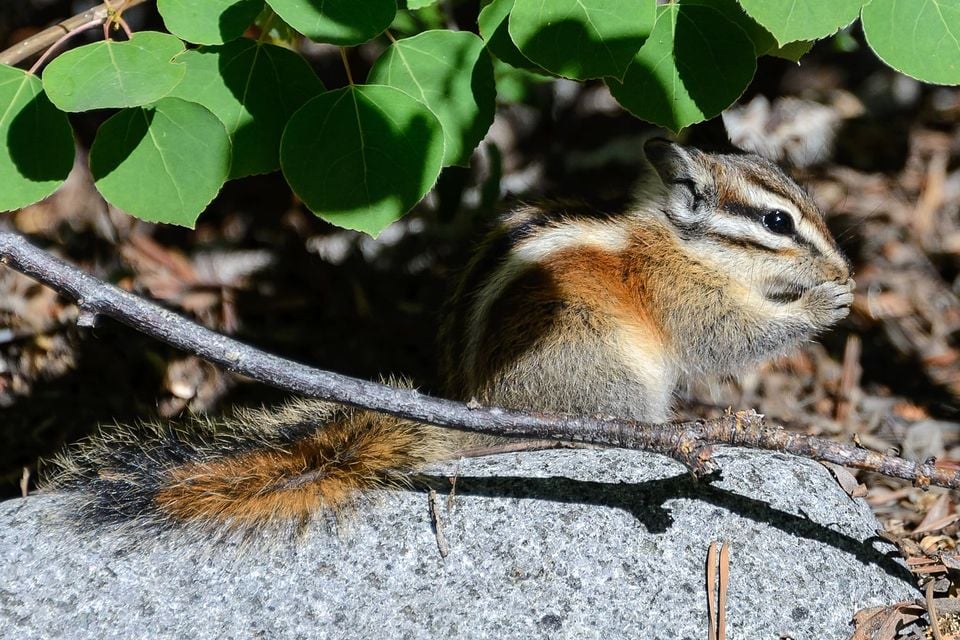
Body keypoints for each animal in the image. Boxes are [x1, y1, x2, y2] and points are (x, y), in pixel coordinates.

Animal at [48, 139, 854, 532]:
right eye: (777, 222)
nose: (844, 264)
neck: (682, 241)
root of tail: (474, 413)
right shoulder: (681, 292)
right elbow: (726, 336)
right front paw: (821, 305)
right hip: (607, 370)